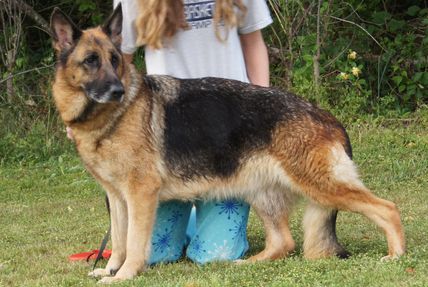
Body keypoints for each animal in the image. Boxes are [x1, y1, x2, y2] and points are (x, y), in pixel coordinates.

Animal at [49, 5, 404, 286]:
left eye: (113, 60)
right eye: (91, 61)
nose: (118, 91)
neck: (110, 118)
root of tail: (327, 117)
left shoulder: (140, 195)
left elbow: (135, 243)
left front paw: (123, 275)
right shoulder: (117, 198)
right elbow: (120, 239)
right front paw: (110, 269)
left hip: (320, 186)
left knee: (387, 208)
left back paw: (396, 256)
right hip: (262, 192)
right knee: (283, 243)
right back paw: (244, 264)